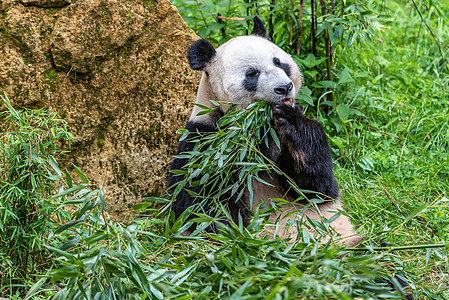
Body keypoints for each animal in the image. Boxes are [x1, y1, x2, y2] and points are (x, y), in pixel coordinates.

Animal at [166, 15, 362, 246]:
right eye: (252, 74)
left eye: (279, 62)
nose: (284, 88)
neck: (257, 126)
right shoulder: (205, 140)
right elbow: (198, 202)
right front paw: (242, 237)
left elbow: (318, 188)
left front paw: (290, 119)